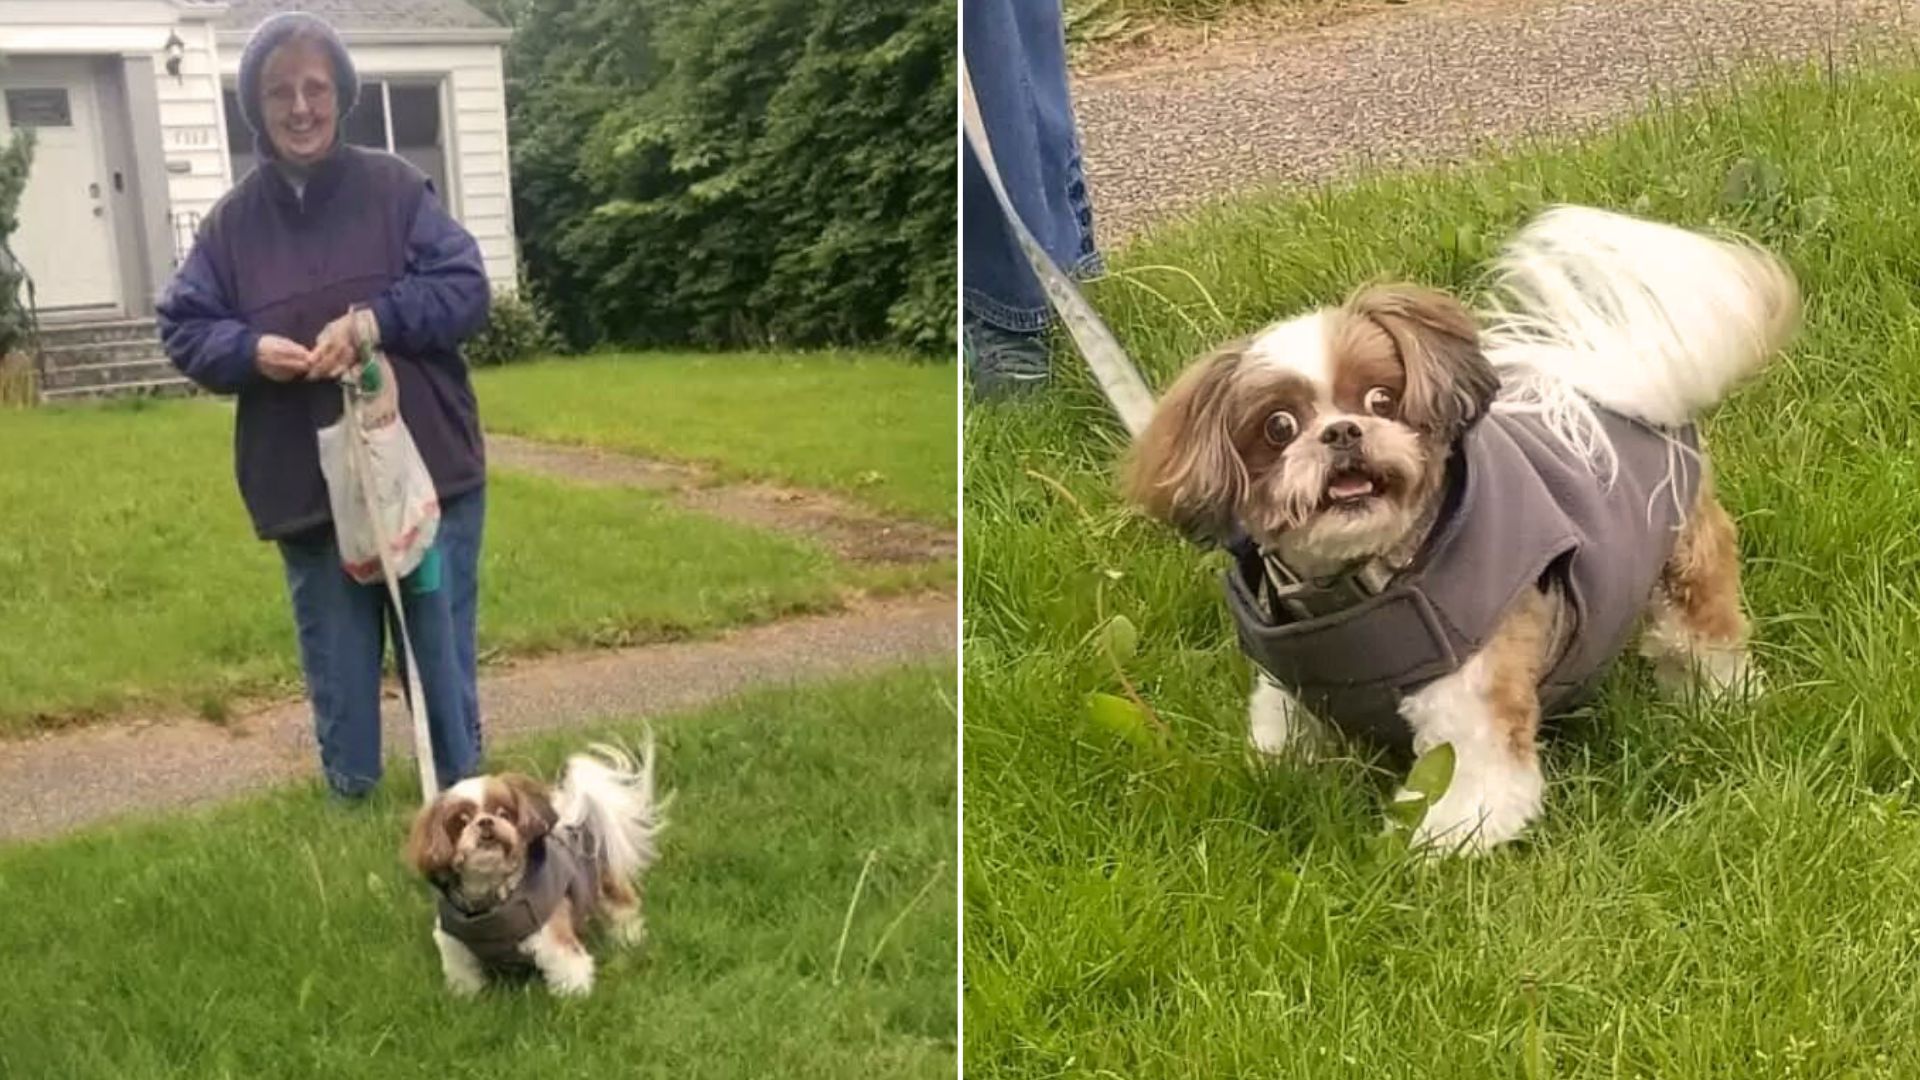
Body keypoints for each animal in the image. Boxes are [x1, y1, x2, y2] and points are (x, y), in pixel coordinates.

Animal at [401, 737, 664, 991]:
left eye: (504, 813)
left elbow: (570, 969)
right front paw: (465, 997)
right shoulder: (454, 945)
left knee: (623, 910)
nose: (485, 821)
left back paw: (630, 938)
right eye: (461, 822)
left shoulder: (551, 935)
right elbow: (463, 976)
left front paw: (574, 998)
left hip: (608, 887)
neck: (491, 903)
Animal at [1121, 205, 1797, 853]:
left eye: (1380, 399)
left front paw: (1440, 845)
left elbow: (1472, 784)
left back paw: (1720, 703)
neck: (1353, 594)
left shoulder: (1472, 689)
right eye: (1279, 426)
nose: (1341, 432)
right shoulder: (1289, 690)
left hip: (1686, 569)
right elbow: (1282, 741)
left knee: (1700, 641)